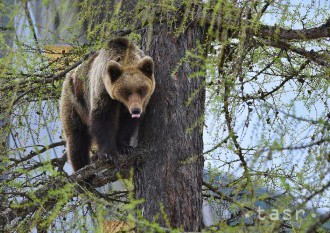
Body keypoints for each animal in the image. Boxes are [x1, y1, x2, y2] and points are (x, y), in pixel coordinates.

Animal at [59, 37, 156, 171]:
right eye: (126, 91)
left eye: (142, 90)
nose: (136, 110)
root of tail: (69, 75)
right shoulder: (103, 91)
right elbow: (103, 119)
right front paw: (109, 153)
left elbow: (127, 124)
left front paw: (125, 147)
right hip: (74, 103)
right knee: (77, 137)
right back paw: (82, 167)